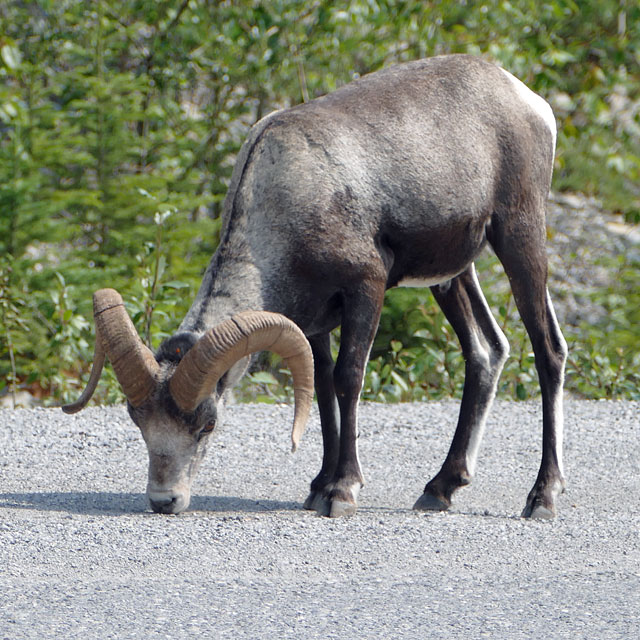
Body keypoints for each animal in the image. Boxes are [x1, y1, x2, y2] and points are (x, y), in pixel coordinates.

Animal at [63, 56, 564, 520]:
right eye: (139, 421)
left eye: (207, 423)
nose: (165, 501)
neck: (285, 194)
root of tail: (528, 100)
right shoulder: (313, 322)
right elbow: (321, 388)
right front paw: (318, 488)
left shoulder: (366, 289)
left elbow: (347, 380)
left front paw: (342, 492)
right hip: (452, 275)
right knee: (486, 351)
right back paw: (440, 489)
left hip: (519, 237)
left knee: (549, 351)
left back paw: (541, 499)